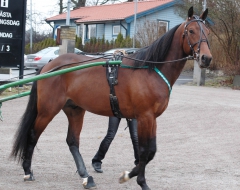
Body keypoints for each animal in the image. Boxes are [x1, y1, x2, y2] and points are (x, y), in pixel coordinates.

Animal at [10, 6, 212, 189]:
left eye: (208, 31)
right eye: (191, 31)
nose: (206, 58)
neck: (149, 70)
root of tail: (50, 66)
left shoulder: (151, 118)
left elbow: (151, 151)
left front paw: (132, 175)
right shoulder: (145, 116)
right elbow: (145, 152)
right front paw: (136, 179)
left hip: (75, 109)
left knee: (72, 141)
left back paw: (86, 177)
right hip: (48, 110)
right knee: (33, 134)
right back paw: (28, 171)